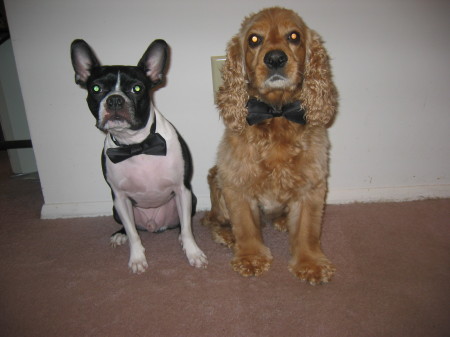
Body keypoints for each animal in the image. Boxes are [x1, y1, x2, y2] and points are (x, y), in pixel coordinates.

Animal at [71, 38, 208, 272]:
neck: (137, 144)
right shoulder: (119, 196)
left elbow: (188, 230)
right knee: (132, 228)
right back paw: (119, 235)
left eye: (137, 88)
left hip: (191, 200)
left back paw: (180, 237)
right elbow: (134, 234)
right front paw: (136, 259)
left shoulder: (182, 189)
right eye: (96, 88)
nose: (115, 100)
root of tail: (154, 225)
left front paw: (193, 253)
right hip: (116, 208)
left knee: (182, 224)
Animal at [203, 7, 338, 284]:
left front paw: (311, 263)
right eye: (254, 39)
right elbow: (245, 226)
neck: (276, 112)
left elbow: (307, 230)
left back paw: (284, 221)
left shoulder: (312, 184)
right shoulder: (236, 182)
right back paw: (227, 235)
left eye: (294, 36)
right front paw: (250, 257)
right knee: (214, 219)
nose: (275, 58)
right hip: (216, 180)